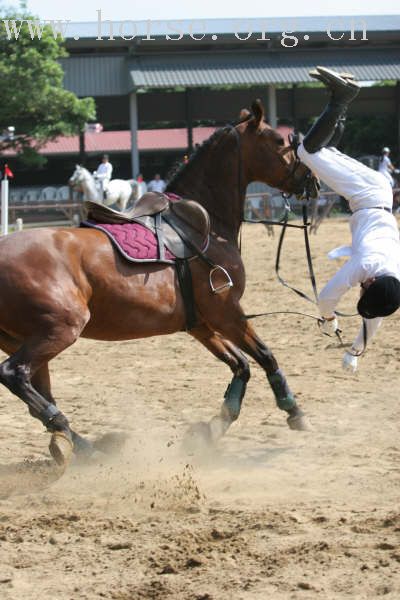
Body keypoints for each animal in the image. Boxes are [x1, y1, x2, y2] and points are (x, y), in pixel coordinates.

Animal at [0, 101, 310, 466]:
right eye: (279, 141)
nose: (311, 180)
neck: (205, 225)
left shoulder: (201, 324)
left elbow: (241, 366)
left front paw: (212, 428)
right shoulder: (227, 313)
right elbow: (264, 356)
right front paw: (293, 410)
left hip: (25, 338)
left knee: (36, 390)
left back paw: (76, 444)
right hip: (60, 329)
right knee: (15, 375)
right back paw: (73, 436)